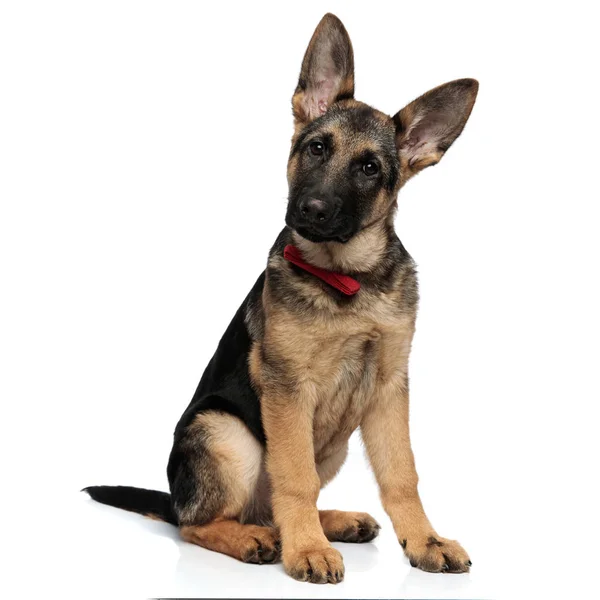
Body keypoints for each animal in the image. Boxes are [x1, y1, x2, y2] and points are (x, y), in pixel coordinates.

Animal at [84, 11, 478, 584]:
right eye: (316, 148)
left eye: (370, 169)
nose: (311, 210)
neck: (348, 278)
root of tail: (176, 498)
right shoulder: (288, 388)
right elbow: (295, 478)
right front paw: (307, 550)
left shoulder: (388, 389)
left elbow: (402, 475)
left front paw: (424, 540)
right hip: (227, 433)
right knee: (198, 524)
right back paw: (258, 538)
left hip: (332, 444)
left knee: (269, 507)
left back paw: (330, 522)